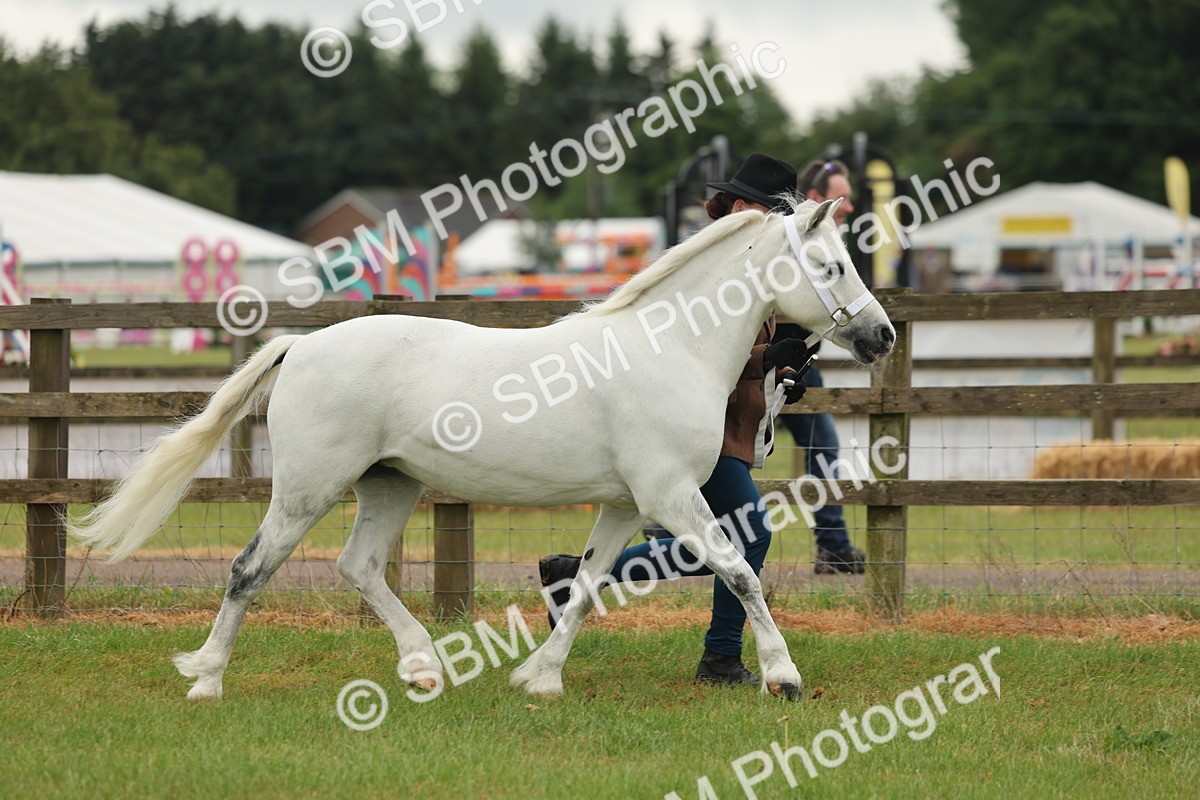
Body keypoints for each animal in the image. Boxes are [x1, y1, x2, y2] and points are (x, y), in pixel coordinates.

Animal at [70, 196, 894, 701]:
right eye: (832, 266)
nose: (881, 336)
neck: (670, 349)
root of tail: (299, 346)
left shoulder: (627, 506)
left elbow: (587, 586)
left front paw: (540, 679)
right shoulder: (670, 497)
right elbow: (740, 573)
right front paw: (784, 677)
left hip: (390, 483)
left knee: (359, 566)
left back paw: (423, 667)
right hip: (307, 488)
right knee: (251, 569)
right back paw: (207, 678)